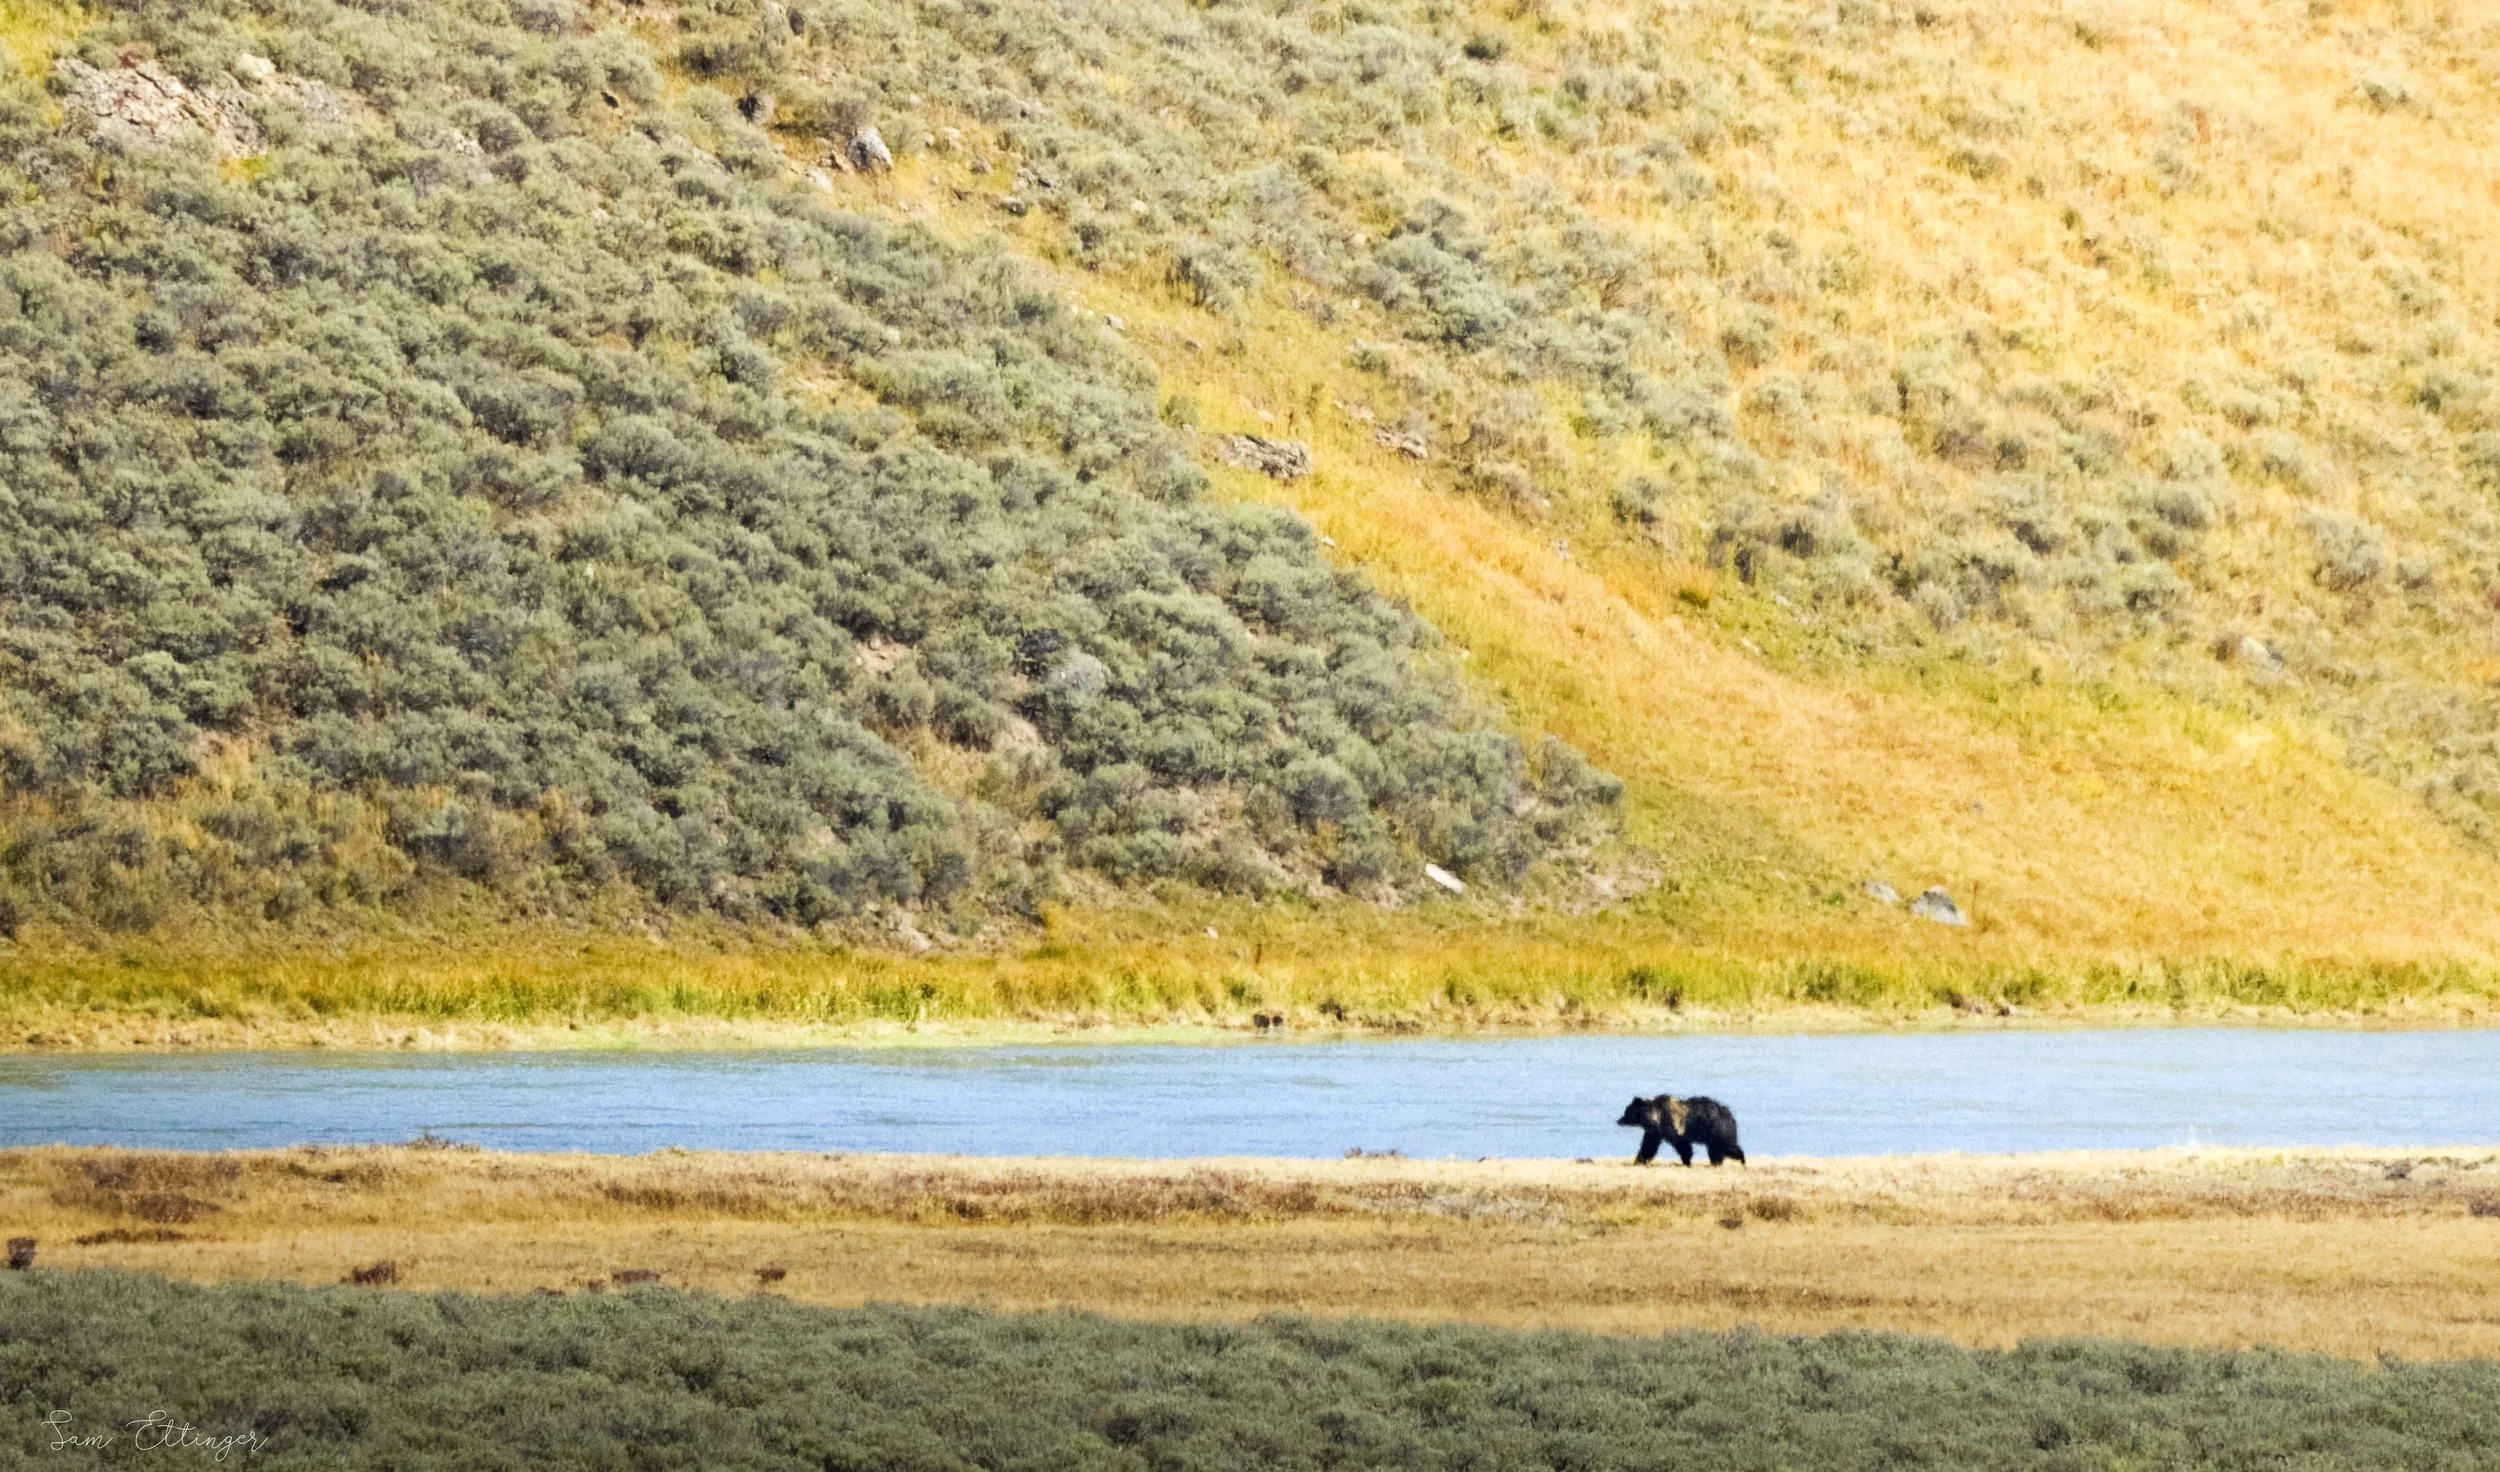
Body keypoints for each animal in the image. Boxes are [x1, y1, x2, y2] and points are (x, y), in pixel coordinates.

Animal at [1616, 1094, 1745, 1166]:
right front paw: (1638, 1161)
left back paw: (1741, 1160)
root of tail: (1730, 1114)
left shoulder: (1672, 1127)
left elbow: (1682, 1145)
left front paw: (1687, 1162)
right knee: (1716, 1150)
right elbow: (1648, 1146)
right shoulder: (1655, 1133)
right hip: (1713, 1135)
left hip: (1718, 1129)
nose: (1618, 1120)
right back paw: (1716, 1163)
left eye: (1626, 1112)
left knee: (1727, 1146)